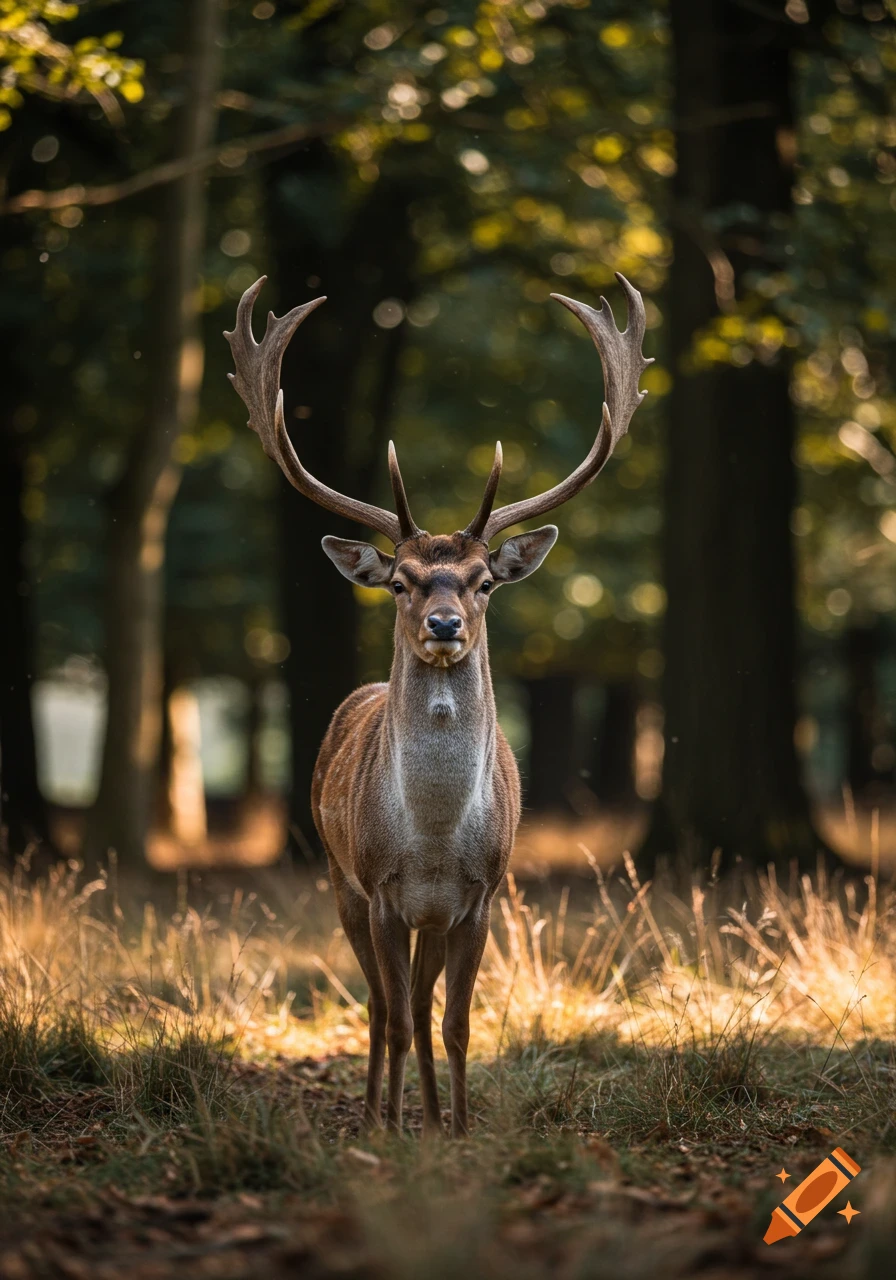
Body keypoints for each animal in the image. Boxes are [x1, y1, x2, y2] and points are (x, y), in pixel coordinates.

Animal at [225, 272, 651, 1138]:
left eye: (484, 580)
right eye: (400, 581)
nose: (445, 624)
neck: (429, 840)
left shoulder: (480, 898)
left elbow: (453, 1022)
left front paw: (454, 1127)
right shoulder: (381, 890)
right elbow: (389, 1014)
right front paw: (386, 1127)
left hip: (427, 916)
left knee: (419, 1006)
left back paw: (424, 1111)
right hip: (338, 879)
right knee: (383, 1005)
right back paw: (379, 1110)